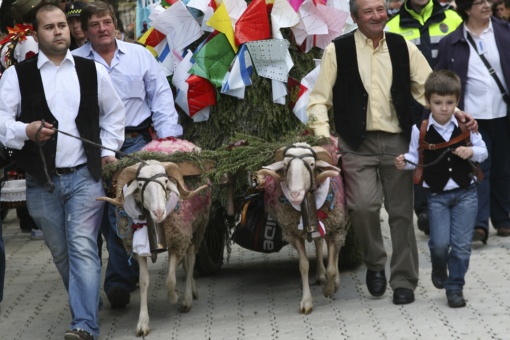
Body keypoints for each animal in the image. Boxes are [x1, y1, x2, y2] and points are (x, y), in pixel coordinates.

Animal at [97, 155, 211, 336]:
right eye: (140, 185)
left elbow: (170, 279)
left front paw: (174, 297)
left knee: (191, 261)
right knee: (187, 264)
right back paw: (192, 289)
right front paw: (142, 323)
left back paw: (186, 299)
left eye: (166, 181)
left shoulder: (177, 242)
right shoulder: (139, 252)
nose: (159, 212)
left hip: (196, 230)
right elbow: (143, 282)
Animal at [256, 141, 348, 314]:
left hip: (337, 227)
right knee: (319, 243)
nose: (295, 194)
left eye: (311, 164)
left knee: (335, 251)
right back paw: (320, 275)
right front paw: (306, 302)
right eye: (286, 165)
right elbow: (303, 265)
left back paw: (335, 281)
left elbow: (332, 268)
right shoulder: (293, 234)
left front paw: (329, 290)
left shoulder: (335, 230)